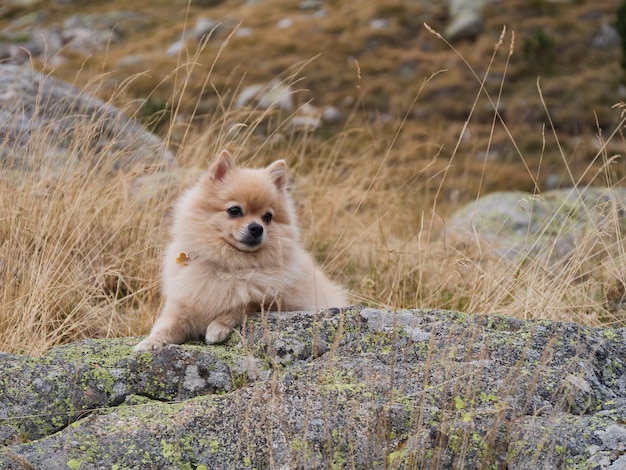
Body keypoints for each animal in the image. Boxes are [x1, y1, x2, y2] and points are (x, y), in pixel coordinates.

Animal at [133, 149, 346, 350]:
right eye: (234, 211)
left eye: (268, 217)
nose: (257, 228)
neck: (230, 265)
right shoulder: (180, 307)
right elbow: (165, 327)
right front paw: (150, 342)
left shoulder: (275, 301)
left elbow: (242, 306)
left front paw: (217, 328)